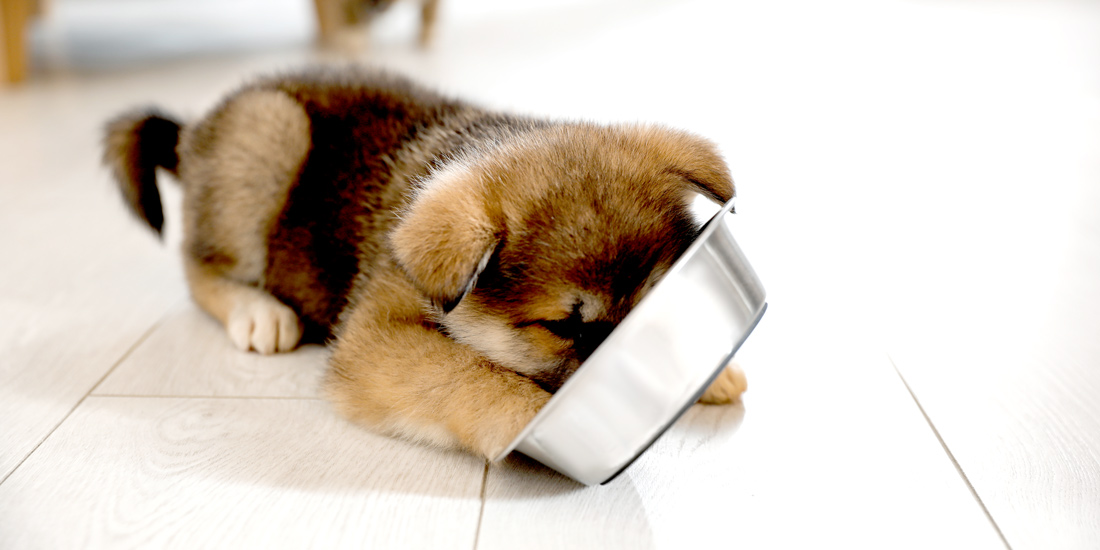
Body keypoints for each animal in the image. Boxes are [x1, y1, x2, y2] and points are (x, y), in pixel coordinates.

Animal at [103, 67, 747, 460]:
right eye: (564, 327)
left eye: (658, 303)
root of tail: (192, 131)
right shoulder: (375, 337)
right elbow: (473, 377)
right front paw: (538, 418)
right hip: (269, 133)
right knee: (198, 266)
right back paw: (257, 311)